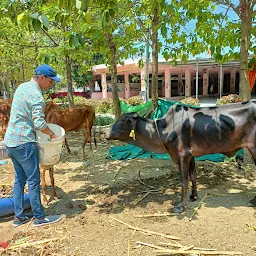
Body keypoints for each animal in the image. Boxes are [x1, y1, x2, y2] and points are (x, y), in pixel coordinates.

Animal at [105, 101, 256, 213]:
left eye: (123, 120)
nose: (104, 132)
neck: (164, 129)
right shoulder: (191, 155)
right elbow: (193, 176)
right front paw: (193, 196)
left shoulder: (182, 155)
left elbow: (184, 180)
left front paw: (181, 206)